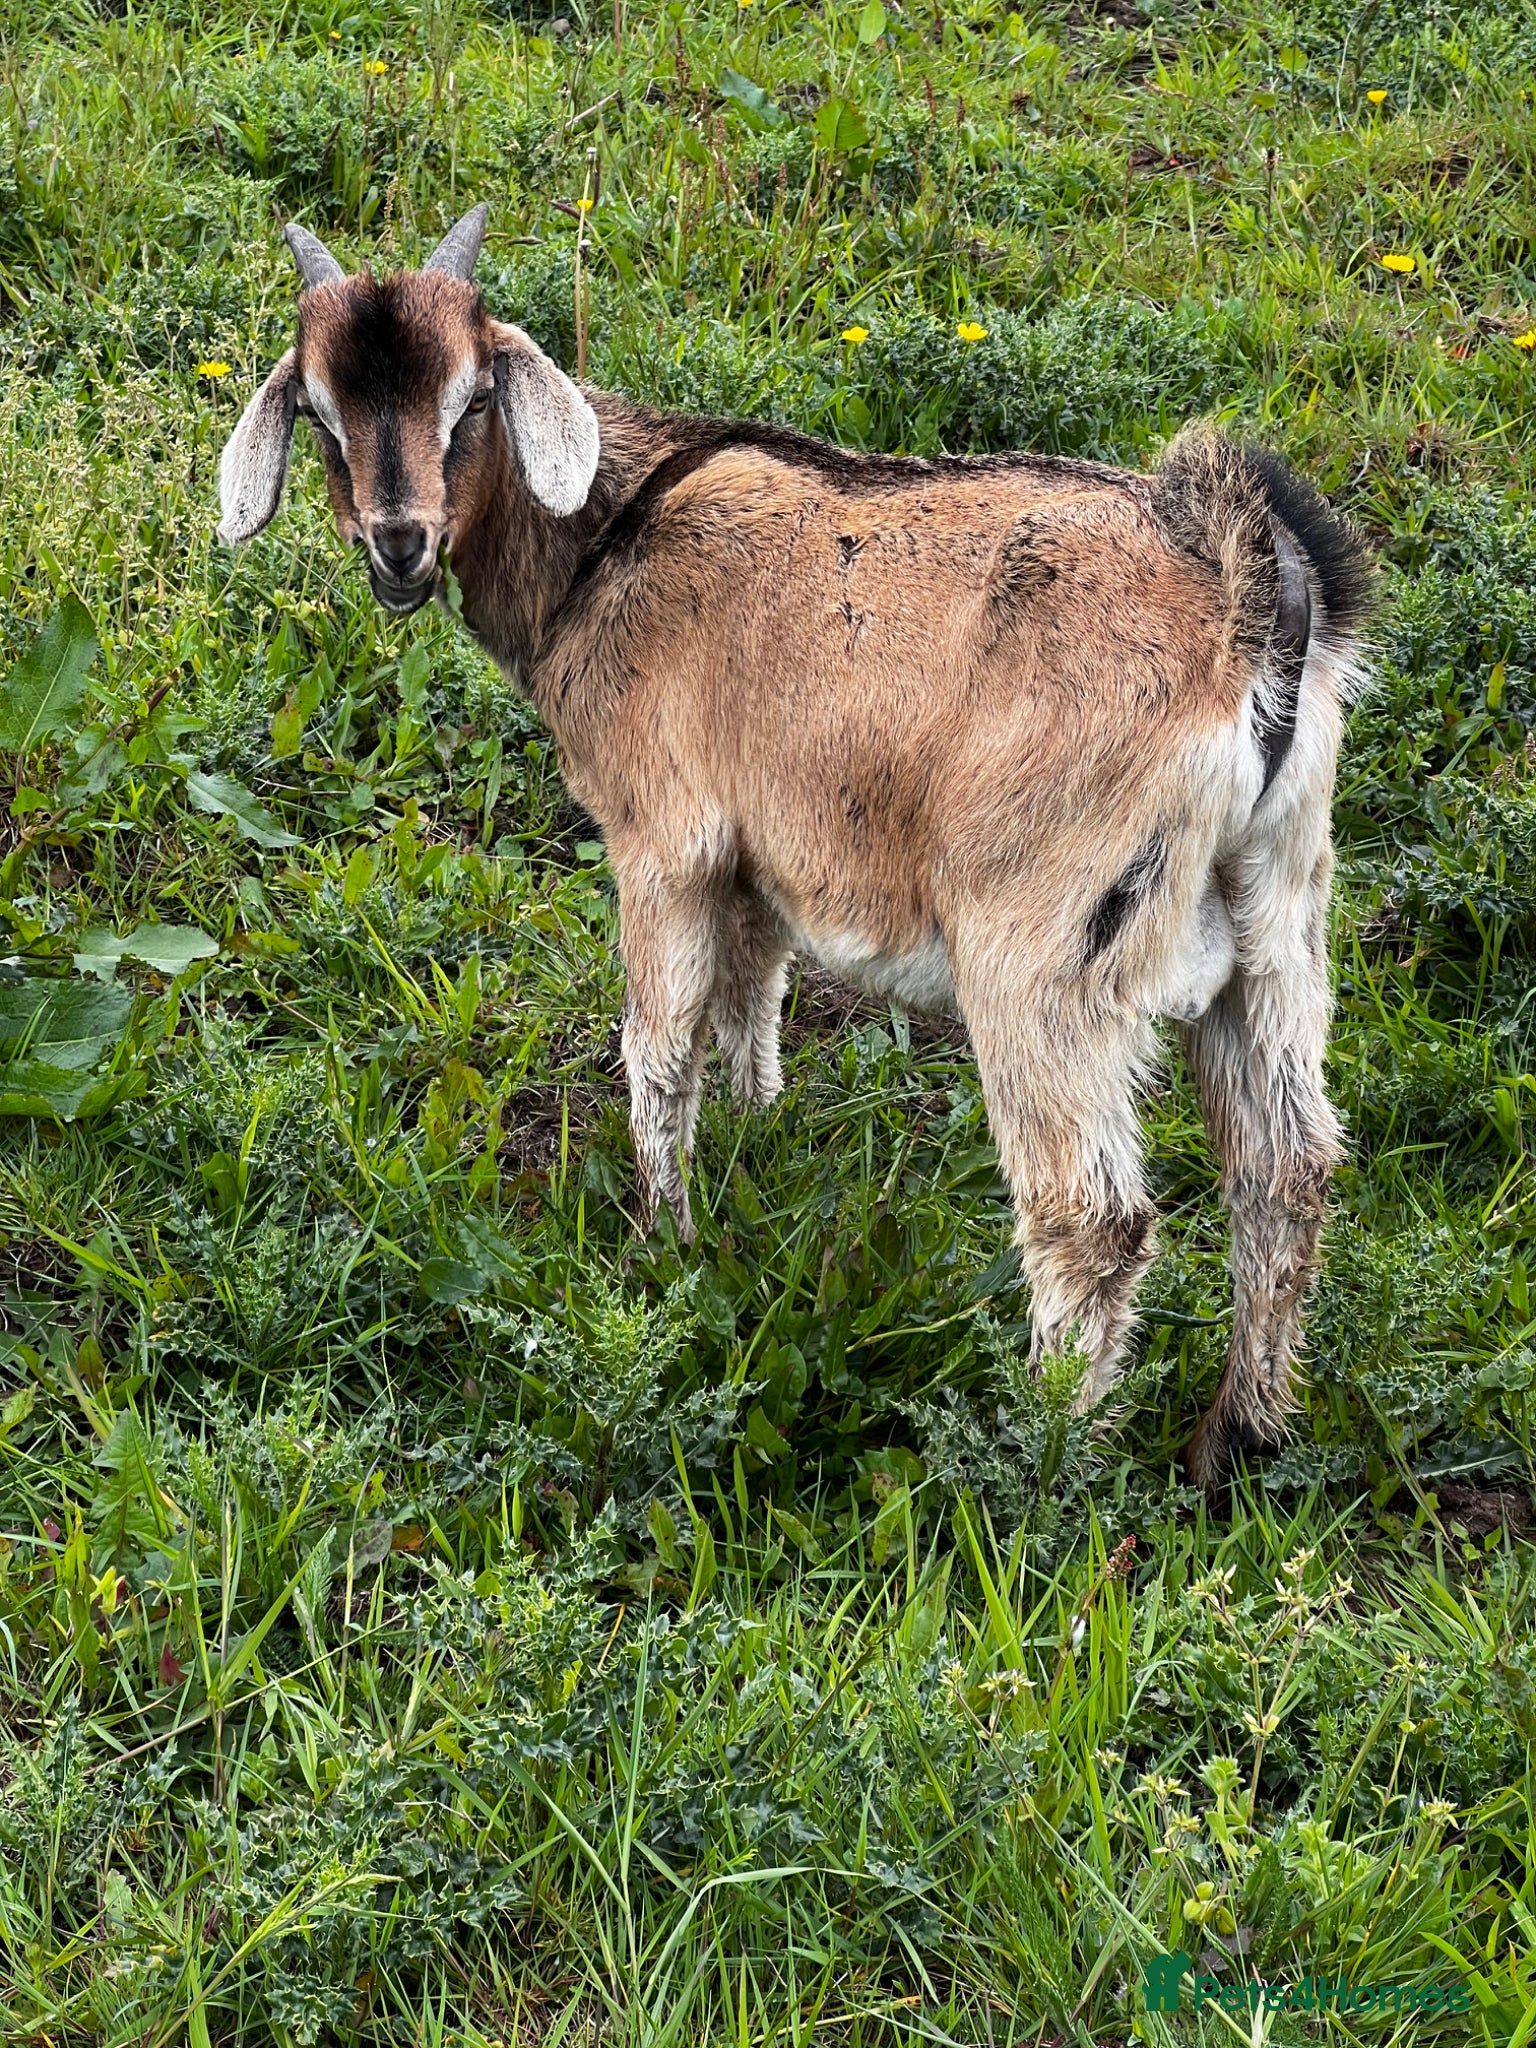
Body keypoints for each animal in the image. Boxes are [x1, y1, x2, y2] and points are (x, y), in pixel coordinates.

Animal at [218, 207, 1374, 1486]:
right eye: (321, 411)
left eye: (472, 399)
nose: (399, 544)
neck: (612, 539)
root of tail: (1247, 609)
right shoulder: (759, 853)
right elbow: (752, 997)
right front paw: (756, 1138)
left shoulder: (662, 836)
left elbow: (659, 1046)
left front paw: (663, 1242)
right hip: (1280, 915)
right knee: (1285, 1172)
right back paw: (1240, 1433)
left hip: (1043, 947)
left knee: (1091, 1214)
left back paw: (1039, 1457)